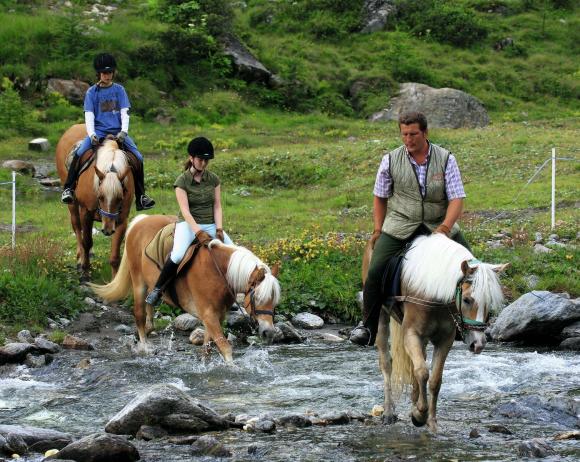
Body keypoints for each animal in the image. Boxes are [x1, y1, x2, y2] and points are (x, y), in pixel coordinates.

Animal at [55, 124, 134, 280]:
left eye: (120, 198)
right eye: (100, 196)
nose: (108, 230)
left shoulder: (122, 220)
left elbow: (115, 255)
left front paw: (114, 281)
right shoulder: (86, 213)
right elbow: (86, 242)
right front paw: (85, 272)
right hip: (73, 205)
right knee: (77, 229)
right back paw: (80, 259)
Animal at [89, 215, 282, 362]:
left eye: (274, 301)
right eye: (258, 298)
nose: (269, 333)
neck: (220, 272)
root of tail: (140, 220)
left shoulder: (215, 316)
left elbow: (207, 348)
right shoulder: (209, 315)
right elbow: (225, 348)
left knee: (149, 307)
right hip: (138, 283)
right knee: (139, 314)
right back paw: (144, 346)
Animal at [364, 235, 510, 434]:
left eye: (489, 302)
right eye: (467, 299)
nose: (478, 344)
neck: (434, 293)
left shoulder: (445, 340)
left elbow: (434, 379)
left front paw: (430, 421)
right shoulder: (411, 335)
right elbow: (422, 372)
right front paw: (419, 416)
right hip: (382, 318)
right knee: (387, 363)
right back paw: (388, 413)